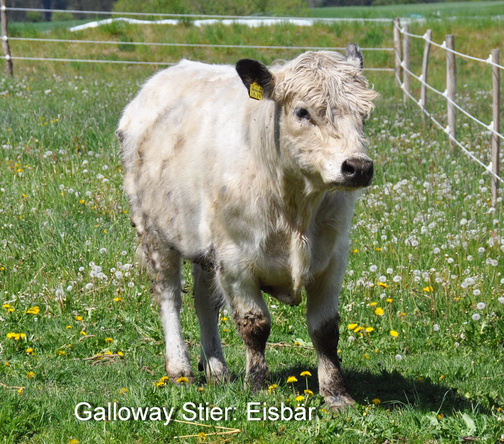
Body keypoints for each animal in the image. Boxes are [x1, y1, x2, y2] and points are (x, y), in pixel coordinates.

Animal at [118, 46, 376, 410]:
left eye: (365, 114)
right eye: (302, 112)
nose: (358, 167)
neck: (294, 209)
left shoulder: (332, 259)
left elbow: (325, 330)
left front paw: (337, 394)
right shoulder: (236, 260)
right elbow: (255, 325)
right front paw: (257, 387)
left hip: (204, 251)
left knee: (204, 302)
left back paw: (217, 369)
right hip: (155, 233)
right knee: (169, 296)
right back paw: (180, 369)